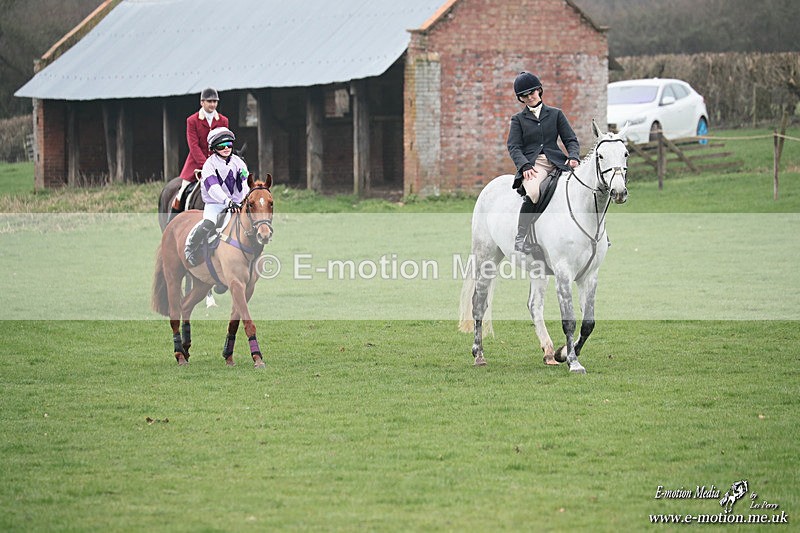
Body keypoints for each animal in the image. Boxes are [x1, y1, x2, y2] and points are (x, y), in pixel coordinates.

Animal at [151, 174, 274, 368]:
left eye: (270, 203)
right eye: (251, 204)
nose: (264, 234)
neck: (243, 241)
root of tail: (173, 224)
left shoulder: (247, 287)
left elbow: (234, 322)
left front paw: (228, 355)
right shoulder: (236, 284)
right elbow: (248, 322)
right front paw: (257, 357)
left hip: (202, 284)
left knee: (186, 306)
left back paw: (186, 348)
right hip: (173, 278)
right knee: (174, 313)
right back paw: (179, 354)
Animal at [458, 121, 629, 374]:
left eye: (625, 154)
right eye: (601, 155)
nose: (619, 192)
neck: (586, 212)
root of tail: (490, 186)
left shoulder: (589, 275)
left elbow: (588, 323)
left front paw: (563, 353)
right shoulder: (564, 273)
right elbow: (569, 320)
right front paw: (573, 362)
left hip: (537, 270)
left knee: (534, 305)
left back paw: (549, 352)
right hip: (486, 258)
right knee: (479, 303)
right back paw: (478, 354)